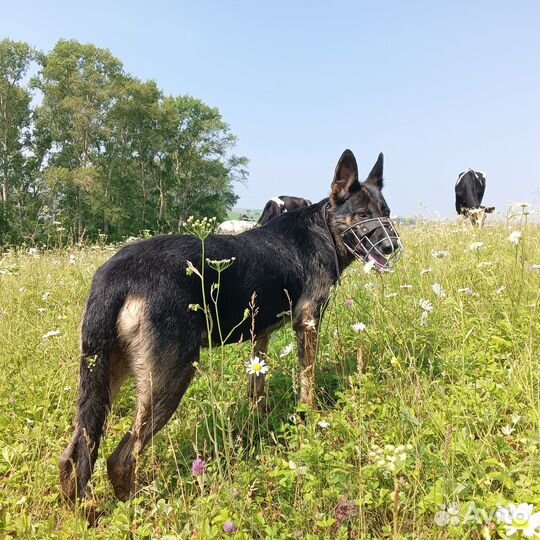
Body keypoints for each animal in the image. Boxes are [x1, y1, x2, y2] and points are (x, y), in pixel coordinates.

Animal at [61, 149, 402, 502]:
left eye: (386, 212)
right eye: (361, 214)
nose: (392, 246)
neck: (324, 228)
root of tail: (116, 274)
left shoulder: (260, 336)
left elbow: (257, 387)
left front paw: (258, 423)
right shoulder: (308, 324)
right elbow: (307, 381)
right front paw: (309, 419)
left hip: (104, 377)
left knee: (74, 456)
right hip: (170, 378)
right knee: (120, 458)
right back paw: (135, 503)